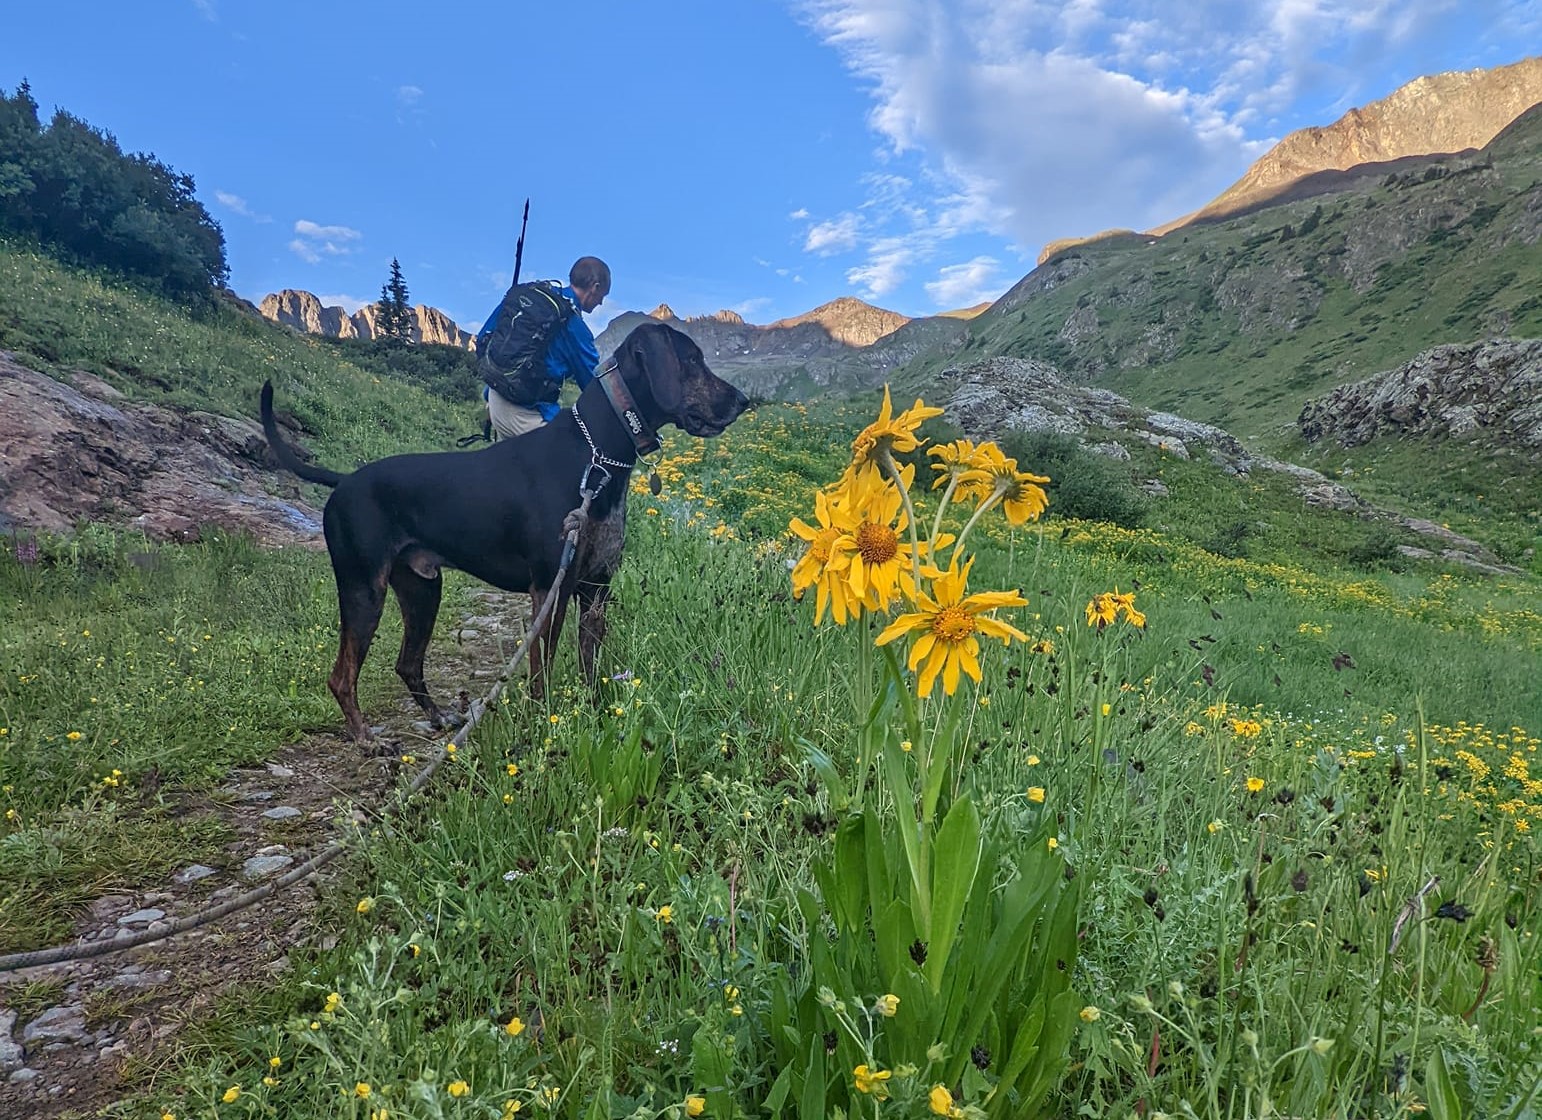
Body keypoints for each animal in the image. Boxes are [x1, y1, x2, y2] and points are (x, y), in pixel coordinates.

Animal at [259, 322, 746, 746]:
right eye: (693, 359)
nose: (743, 401)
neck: (597, 456)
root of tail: (343, 481)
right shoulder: (550, 588)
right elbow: (542, 671)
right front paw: (546, 724)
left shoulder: (595, 590)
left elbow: (591, 667)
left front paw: (595, 714)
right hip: (364, 589)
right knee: (342, 677)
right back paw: (366, 739)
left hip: (421, 590)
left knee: (407, 664)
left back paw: (440, 718)